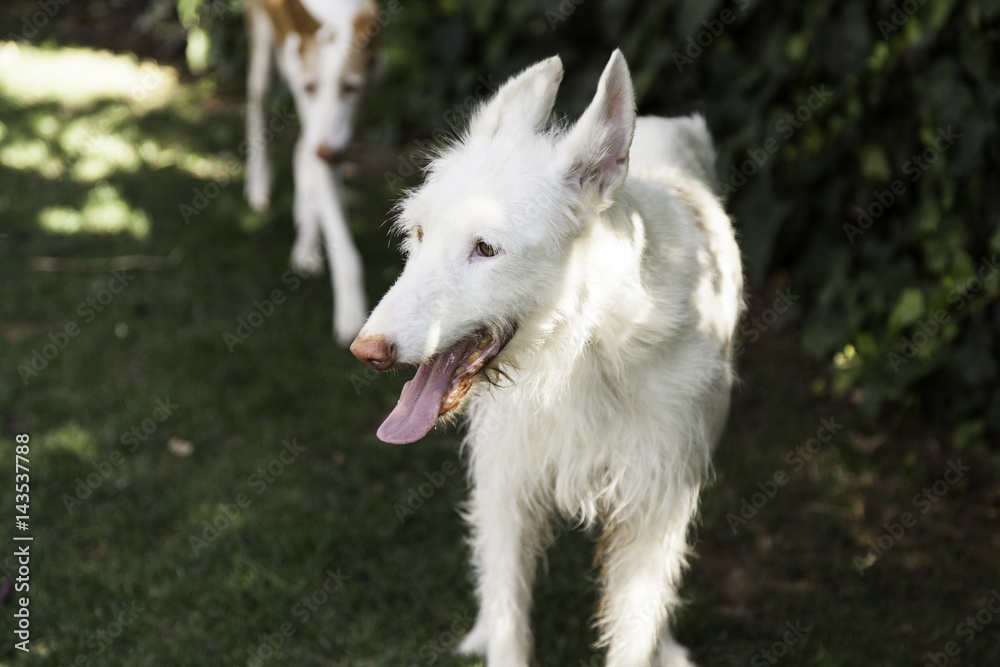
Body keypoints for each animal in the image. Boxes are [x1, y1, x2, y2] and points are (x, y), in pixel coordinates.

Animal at [245, 0, 378, 344]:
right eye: (311, 87)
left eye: (350, 88)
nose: (328, 153)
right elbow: (341, 239)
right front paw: (351, 311)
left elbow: (313, 166)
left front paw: (307, 241)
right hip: (262, 49)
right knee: (258, 100)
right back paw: (258, 183)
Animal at [350, 49, 744, 664]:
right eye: (419, 233)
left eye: (486, 248)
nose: (366, 350)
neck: (583, 349)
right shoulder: (506, 486)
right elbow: (508, 609)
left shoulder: (655, 501)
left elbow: (635, 625)